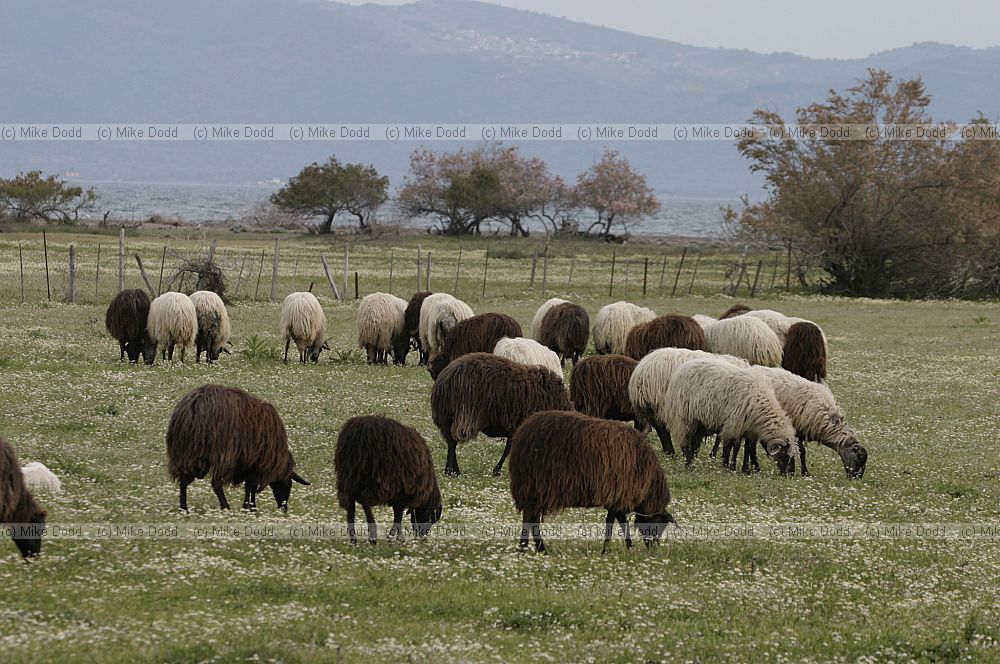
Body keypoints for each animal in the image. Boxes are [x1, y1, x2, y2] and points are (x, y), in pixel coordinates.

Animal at [166, 384, 310, 511]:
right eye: (288, 484)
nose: (284, 508)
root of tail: (190, 410)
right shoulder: (253, 460)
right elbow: (250, 486)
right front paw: (249, 508)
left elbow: (249, 486)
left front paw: (249, 507)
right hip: (221, 454)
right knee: (215, 483)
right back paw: (225, 507)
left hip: (188, 454)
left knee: (184, 480)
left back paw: (184, 509)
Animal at [335, 415, 443, 544]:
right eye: (430, 519)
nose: (421, 538)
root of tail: (358, 433)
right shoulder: (402, 493)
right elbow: (398, 516)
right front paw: (395, 537)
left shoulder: (398, 495)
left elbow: (398, 516)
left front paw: (396, 537)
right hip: (377, 480)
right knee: (365, 499)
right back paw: (372, 537)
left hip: (349, 477)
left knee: (351, 506)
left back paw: (353, 540)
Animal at [430, 352, 573, 477]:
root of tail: (444, 380)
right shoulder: (517, 426)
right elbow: (508, 450)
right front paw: (497, 470)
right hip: (463, 415)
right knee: (453, 442)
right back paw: (451, 471)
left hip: (446, 417)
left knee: (450, 441)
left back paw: (453, 470)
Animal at [508, 411, 674, 553]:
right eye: (660, 525)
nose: (654, 548)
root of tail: (521, 434)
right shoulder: (617, 495)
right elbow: (612, 525)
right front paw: (606, 551)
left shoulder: (617, 498)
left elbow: (621, 523)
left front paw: (627, 547)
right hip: (534, 486)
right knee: (530, 519)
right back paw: (527, 548)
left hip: (533, 489)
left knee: (531, 519)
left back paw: (538, 549)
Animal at [663, 358, 799, 473]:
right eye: (784, 454)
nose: (788, 474)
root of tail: (681, 369)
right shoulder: (735, 424)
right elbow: (734, 446)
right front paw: (730, 466)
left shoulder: (748, 429)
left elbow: (747, 448)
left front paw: (745, 469)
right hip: (686, 417)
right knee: (688, 440)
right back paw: (689, 464)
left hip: (699, 421)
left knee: (694, 440)